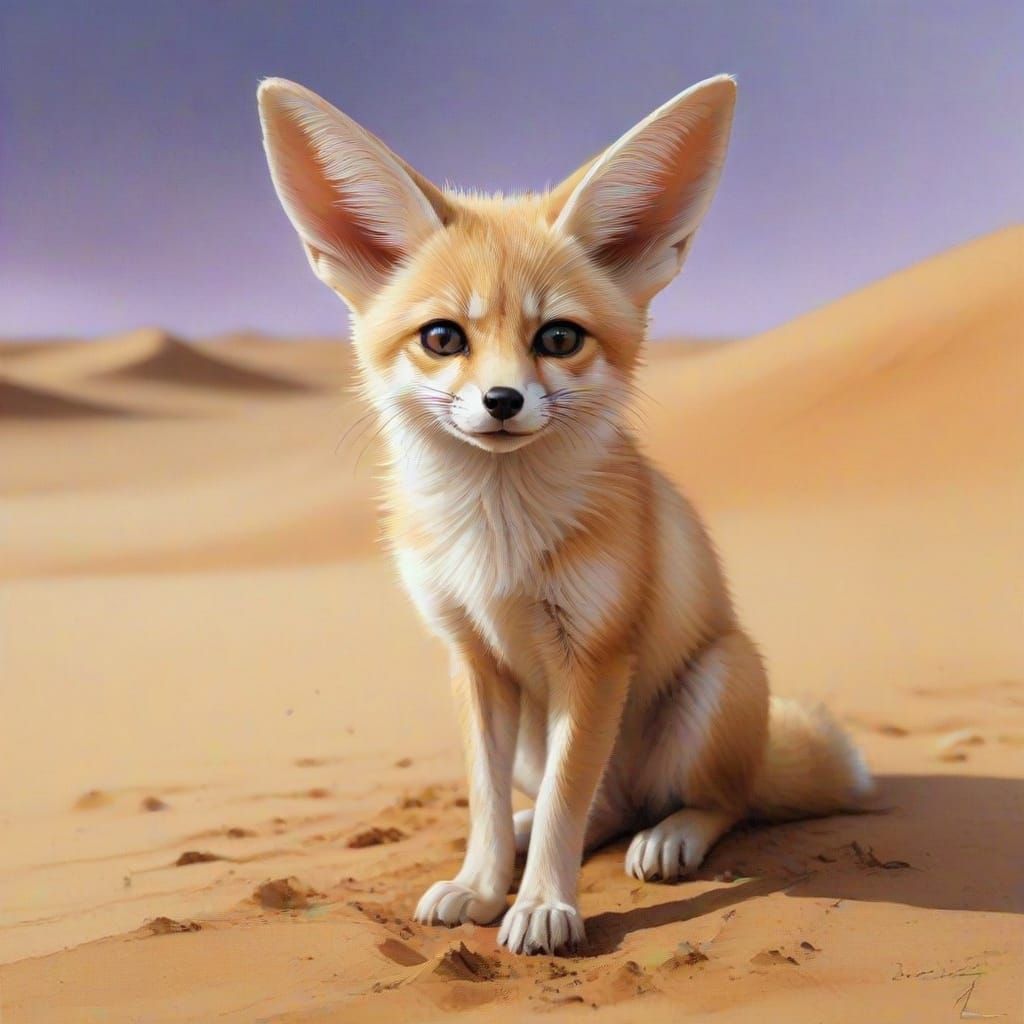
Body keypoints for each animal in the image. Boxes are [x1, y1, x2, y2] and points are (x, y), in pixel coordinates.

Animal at [257, 74, 872, 956]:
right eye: (442, 338)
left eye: (557, 338)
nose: (503, 401)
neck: (496, 544)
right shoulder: (474, 659)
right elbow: (495, 801)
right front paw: (485, 885)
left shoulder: (597, 657)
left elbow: (564, 805)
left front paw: (544, 906)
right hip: (538, 727)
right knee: (599, 807)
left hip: (717, 679)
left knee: (712, 801)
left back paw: (672, 835)